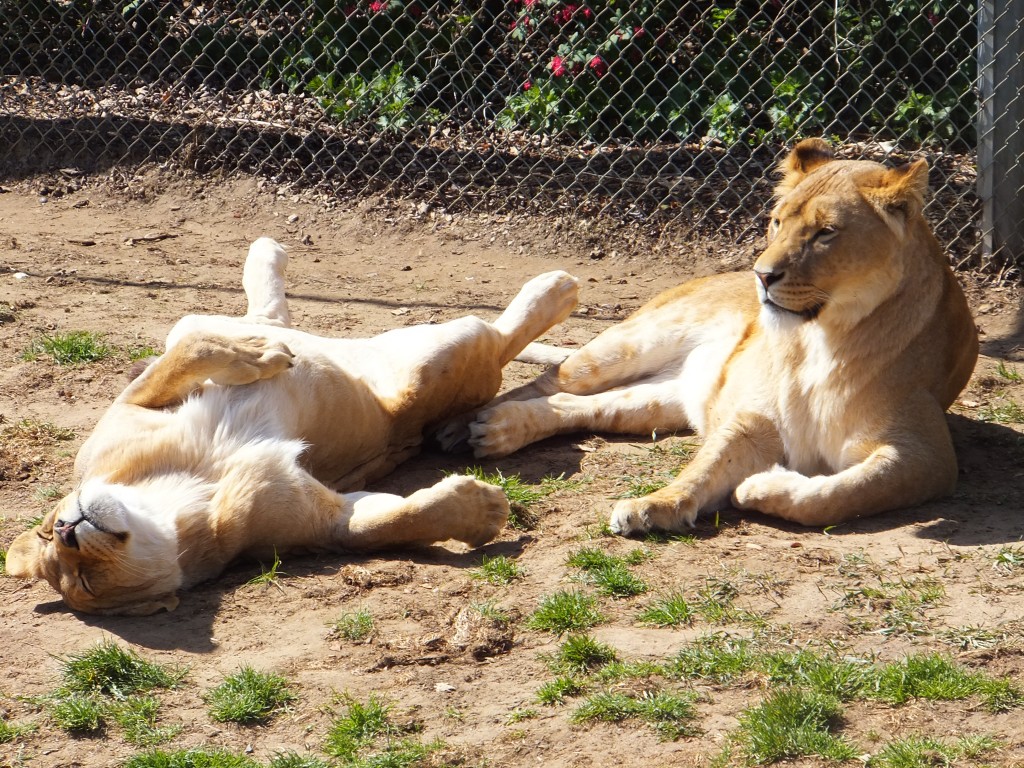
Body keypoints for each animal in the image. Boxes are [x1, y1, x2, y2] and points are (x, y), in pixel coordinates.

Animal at [452, 138, 978, 532]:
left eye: (826, 232)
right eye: (777, 222)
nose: (762, 275)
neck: (821, 340)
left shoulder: (926, 455)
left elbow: (846, 493)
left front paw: (759, 487)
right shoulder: (757, 416)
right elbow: (705, 467)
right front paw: (658, 503)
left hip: (662, 400)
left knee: (578, 405)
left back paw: (499, 429)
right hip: (630, 344)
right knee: (548, 381)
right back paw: (463, 426)